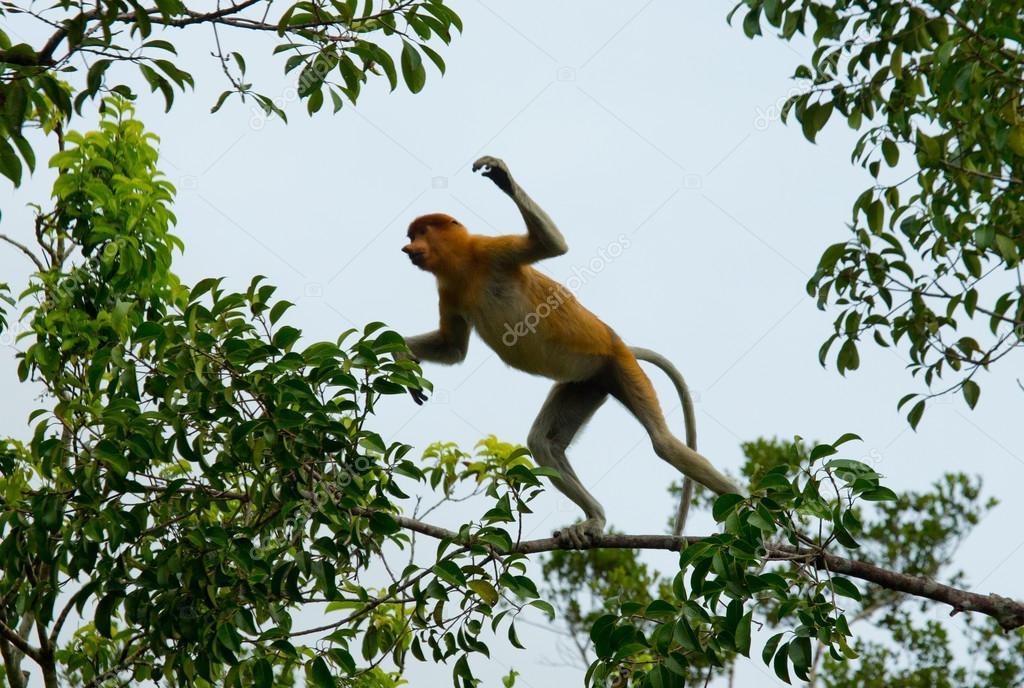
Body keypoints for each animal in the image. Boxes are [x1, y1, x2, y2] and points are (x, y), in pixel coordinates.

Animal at [395, 154, 741, 544]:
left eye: (422, 232)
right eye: (412, 235)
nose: (407, 248)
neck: (462, 263)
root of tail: (620, 345)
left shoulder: (489, 250)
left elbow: (552, 245)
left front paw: (500, 175)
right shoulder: (449, 288)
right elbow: (452, 348)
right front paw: (401, 358)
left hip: (618, 364)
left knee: (665, 444)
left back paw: (749, 508)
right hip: (588, 383)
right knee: (544, 443)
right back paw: (593, 520)